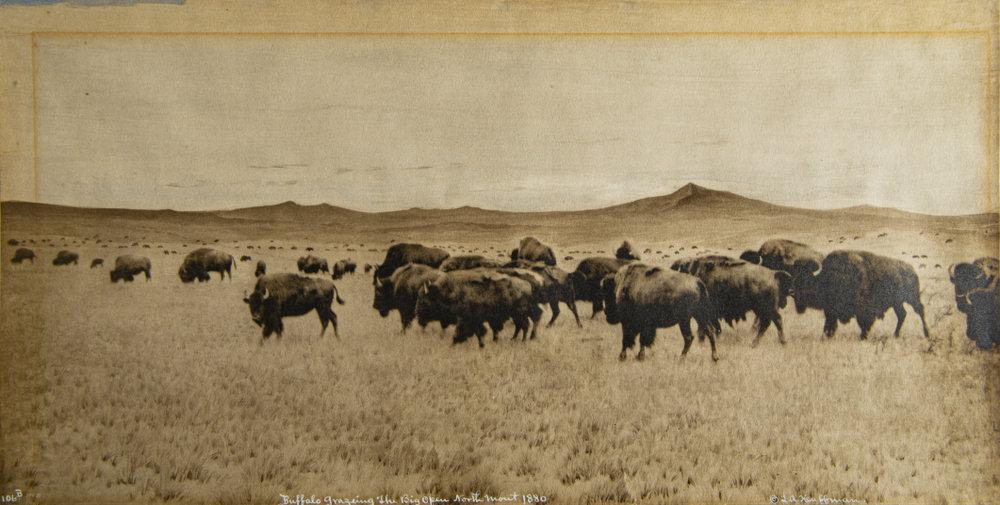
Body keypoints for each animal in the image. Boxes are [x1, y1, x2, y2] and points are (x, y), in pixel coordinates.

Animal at [412, 268, 540, 346]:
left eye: (424, 300)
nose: (417, 313)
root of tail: (527, 285)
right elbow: (479, 332)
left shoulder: (465, 319)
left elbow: (465, 331)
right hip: (515, 315)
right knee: (520, 326)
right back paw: (513, 339)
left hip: (519, 313)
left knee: (525, 325)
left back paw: (523, 341)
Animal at [796, 251, 928, 340]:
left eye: (805, 279)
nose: (793, 292)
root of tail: (911, 270)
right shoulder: (831, 311)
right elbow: (829, 324)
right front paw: (826, 336)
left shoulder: (863, 311)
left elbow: (864, 324)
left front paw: (862, 337)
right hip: (897, 303)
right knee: (902, 315)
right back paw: (895, 335)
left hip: (912, 298)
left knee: (920, 311)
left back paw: (927, 333)